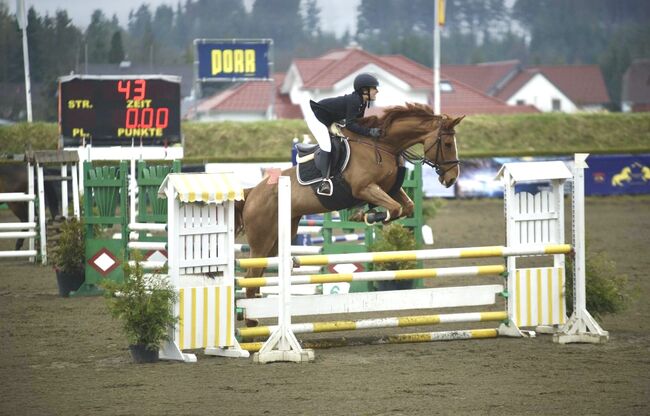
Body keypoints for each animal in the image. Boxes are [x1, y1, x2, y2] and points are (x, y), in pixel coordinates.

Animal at [233, 102, 460, 300]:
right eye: (448, 144)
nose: (451, 178)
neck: (383, 145)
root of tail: (252, 192)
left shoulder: (390, 189)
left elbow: (406, 207)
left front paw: (365, 214)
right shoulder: (365, 188)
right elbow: (394, 209)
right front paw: (366, 216)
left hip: (279, 236)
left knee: (257, 275)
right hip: (262, 240)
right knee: (250, 277)